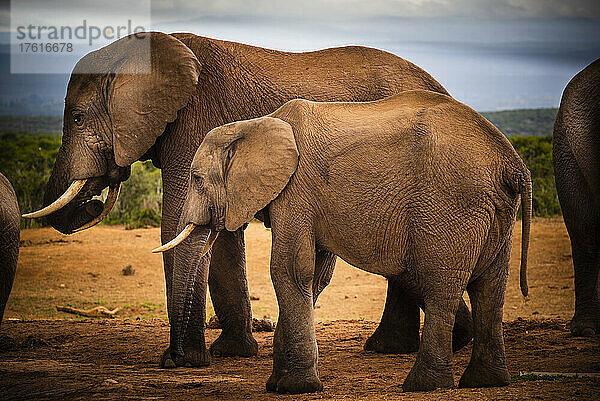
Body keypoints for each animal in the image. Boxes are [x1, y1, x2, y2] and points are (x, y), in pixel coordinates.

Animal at [23, 32, 474, 366]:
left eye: (77, 117)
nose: (95, 201)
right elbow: (217, 234)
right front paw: (231, 354)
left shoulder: (195, 120)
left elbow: (179, 226)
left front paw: (184, 362)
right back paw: (418, 345)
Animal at [158, 90, 528, 390]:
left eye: (196, 178)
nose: (174, 360)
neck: (253, 125)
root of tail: (511, 162)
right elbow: (314, 276)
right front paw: (277, 384)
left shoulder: (296, 190)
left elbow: (289, 270)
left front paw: (295, 388)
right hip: (496, 209)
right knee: (491, 287)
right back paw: (486, 382)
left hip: (451, 205)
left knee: (440, 287)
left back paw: (424, 386)